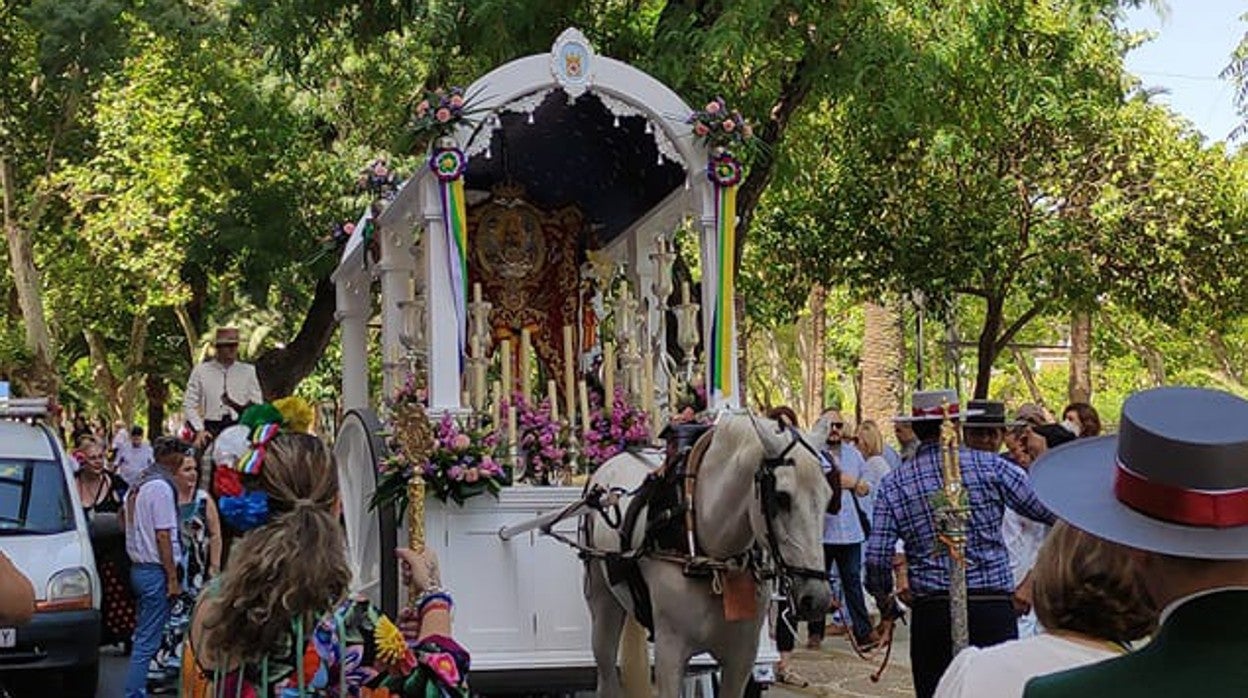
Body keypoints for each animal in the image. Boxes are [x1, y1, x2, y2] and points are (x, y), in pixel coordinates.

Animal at [581, 414, 828, 698]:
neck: (713, 560)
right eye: (781, 497)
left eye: (829, 496)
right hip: (602, 607)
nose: (817, 599)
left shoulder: (741, 658)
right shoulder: (670, 653)